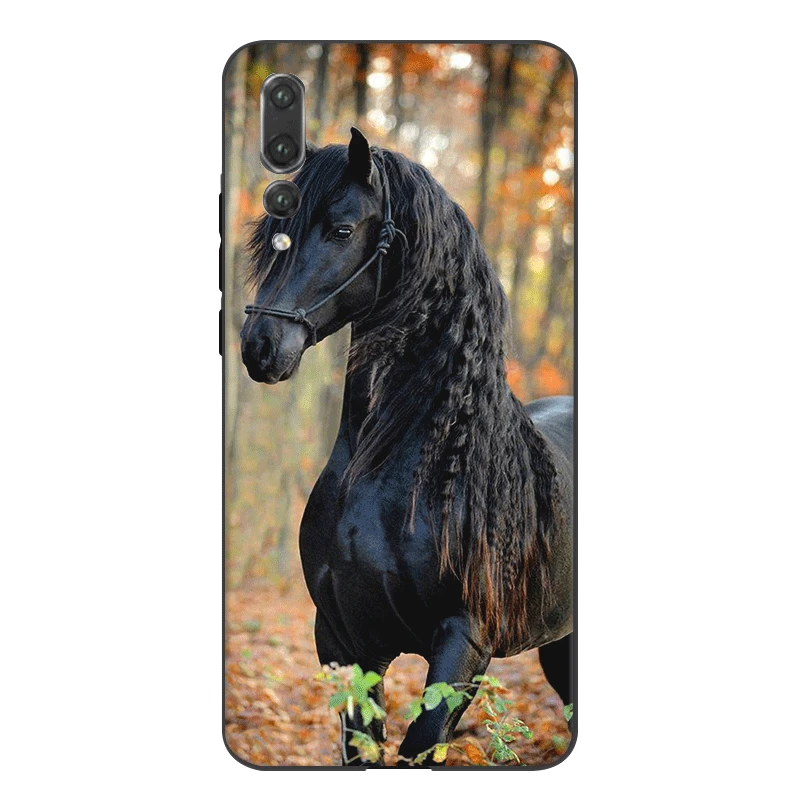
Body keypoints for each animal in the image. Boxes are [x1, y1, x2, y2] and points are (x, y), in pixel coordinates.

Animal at [240, 128, 574, 766]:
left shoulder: (464, 644)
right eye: (271, 235)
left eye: (342, 229)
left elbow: (420, 745)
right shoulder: (343, 642)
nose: (260, 346)